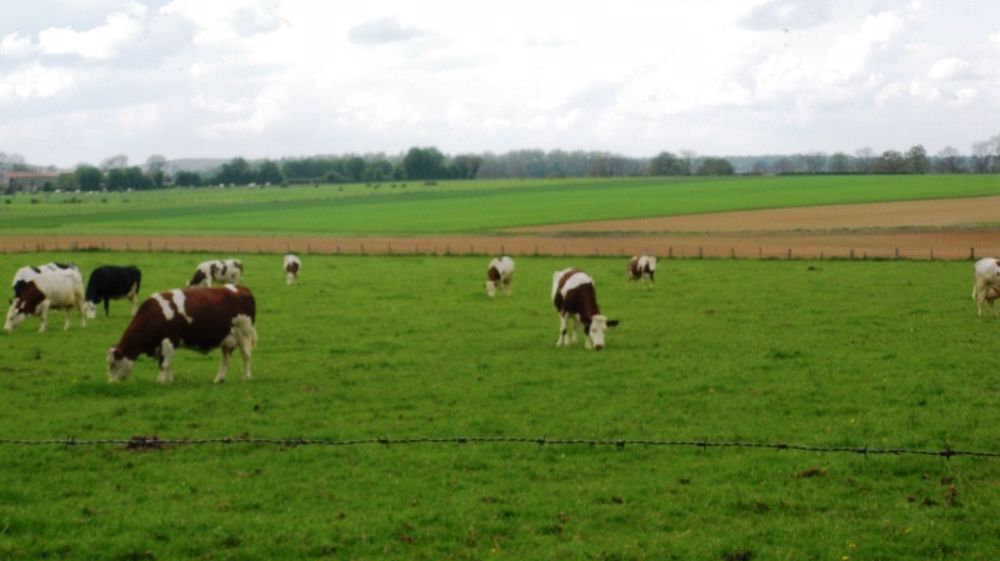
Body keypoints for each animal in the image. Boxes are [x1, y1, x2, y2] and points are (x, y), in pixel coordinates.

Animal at [107, 285, 257, 384]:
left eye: (113, 364)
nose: (111, 382)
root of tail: (241, 288)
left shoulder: (168, 341)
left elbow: (163, 365)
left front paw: (160, 382)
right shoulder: (164, 346)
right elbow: (168, 364)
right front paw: (168, 381)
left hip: (243, 333)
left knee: (247, 356)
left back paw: (247, 377)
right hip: (227, 340)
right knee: (226, 359)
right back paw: (219, 379)